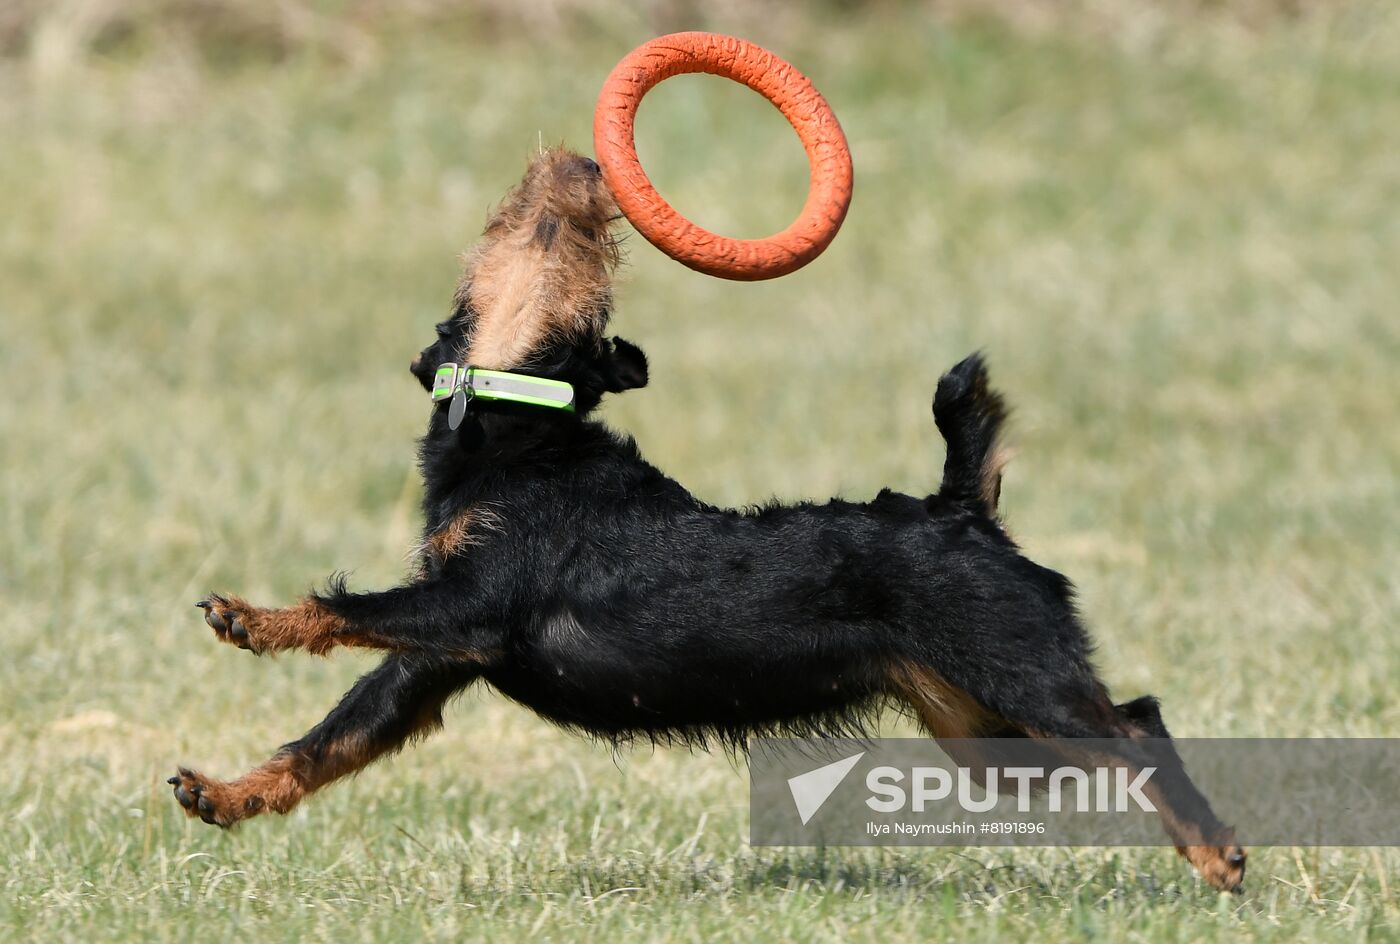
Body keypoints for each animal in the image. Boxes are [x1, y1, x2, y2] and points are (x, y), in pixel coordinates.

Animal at [172, 147, 1248, 890]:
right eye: (546, 227)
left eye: (575, 239)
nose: (583, 161)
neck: (521, 427)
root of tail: (961, 511)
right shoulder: (431, 663)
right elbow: (330, 738)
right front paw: (227, 792)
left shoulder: (469, 604)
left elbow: (346, 607)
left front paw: (251, 618)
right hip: (983, 731)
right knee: (1122, 737)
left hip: (1017, 674)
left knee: (1138, 727)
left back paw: (1217, 851)